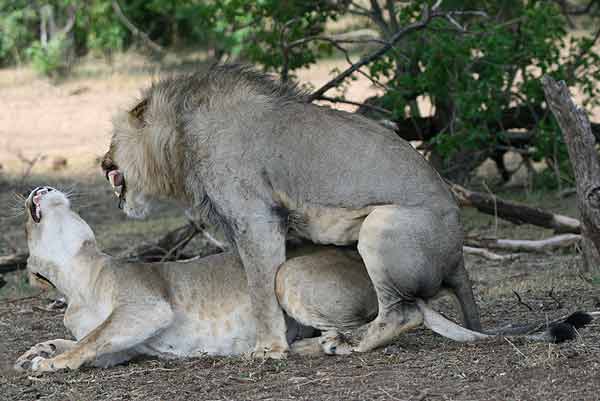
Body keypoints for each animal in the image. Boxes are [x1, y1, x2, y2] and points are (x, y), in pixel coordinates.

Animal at [15, 186, 584, 370]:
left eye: (27, 214)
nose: (39, 189)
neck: (80, 278)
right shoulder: (126, 346)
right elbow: (88, 339)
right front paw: (38, 350)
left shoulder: (147, 306)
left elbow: (91, 337)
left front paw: (50, 363)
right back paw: (309, 347)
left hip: (286, 273)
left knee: (393, 319)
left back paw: (323, 347)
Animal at [99, 65, 478, 356]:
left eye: (113, 139)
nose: (102, 163)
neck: (179, 139)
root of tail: (458, 253)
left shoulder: (256, 219)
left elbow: (261, 289)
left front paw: (268, 348)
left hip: (380, 225)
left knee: (402, 315)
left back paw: (338, 343)